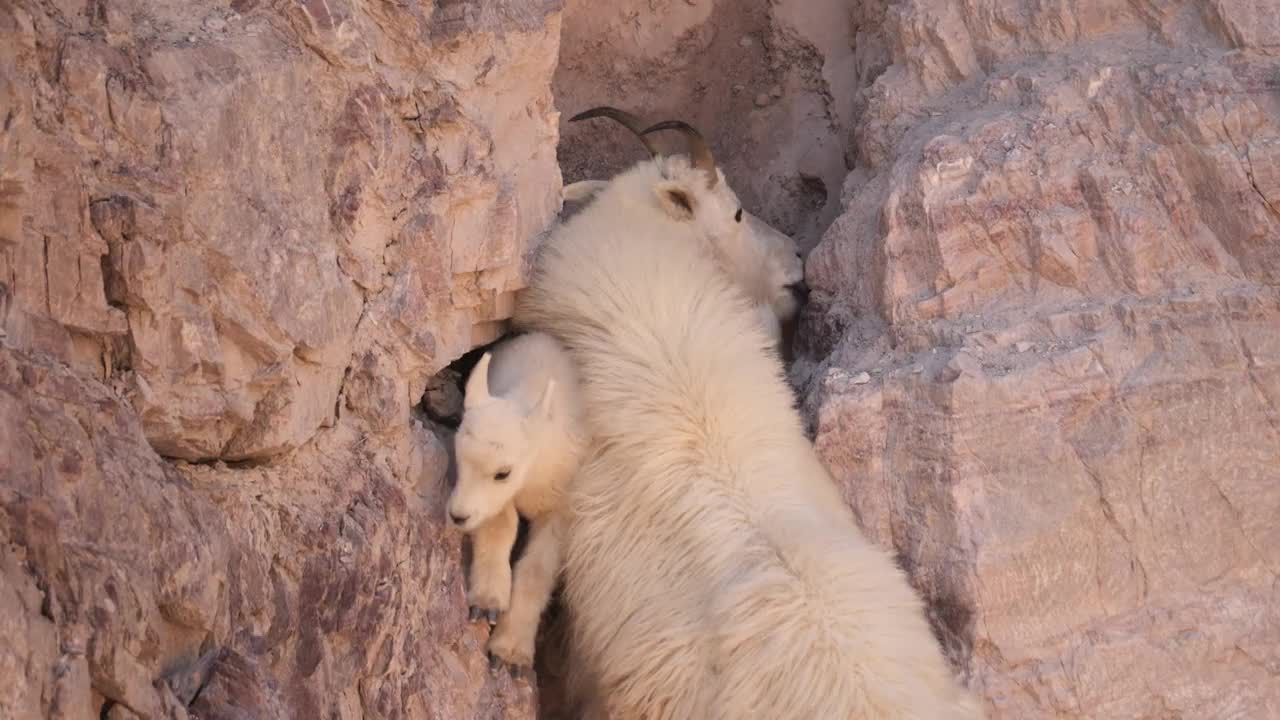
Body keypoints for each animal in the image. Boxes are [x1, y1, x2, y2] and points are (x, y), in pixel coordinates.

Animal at [448, 330, 586, 671]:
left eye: (503, 473)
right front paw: (487, 602)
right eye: (458, 456)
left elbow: (538, 569)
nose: (458, 516)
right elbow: (500, 524)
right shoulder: (496, 504)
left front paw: (510, 652)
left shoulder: (561, 504)